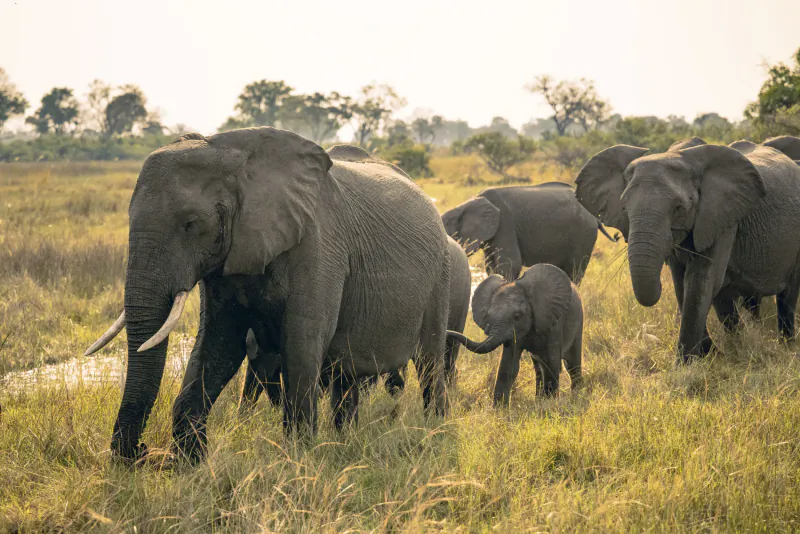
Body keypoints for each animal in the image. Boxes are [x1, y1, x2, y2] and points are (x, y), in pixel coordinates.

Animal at [441, 182, 618, 283]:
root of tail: (595, 217)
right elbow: (491, 267)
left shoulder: (505, 223)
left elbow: (510, 264)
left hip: (583, 234)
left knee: (574, 271)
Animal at [447, 264, 583, 405]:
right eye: (488, 316)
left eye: (517, 316)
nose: (447, 332)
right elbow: (508, 366)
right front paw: (500, 408)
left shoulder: (553, 325)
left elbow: (552, 365)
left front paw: (548, 404)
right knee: (539, 368)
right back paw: (539, 398)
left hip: (578, 324)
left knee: (572, 364)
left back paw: (576, 396)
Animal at [575, 136, 800, 362]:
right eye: (624, 207)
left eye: (679, 208)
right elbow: (681, 284)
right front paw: (706, 357)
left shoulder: (720, 218)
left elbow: (701, 281)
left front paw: (686, 364)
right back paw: (742, 340)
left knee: (787, 297)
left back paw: (785, 345)